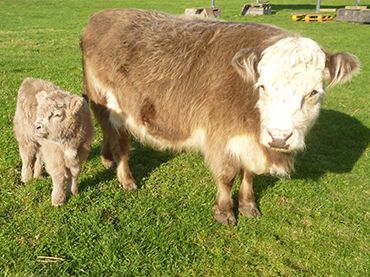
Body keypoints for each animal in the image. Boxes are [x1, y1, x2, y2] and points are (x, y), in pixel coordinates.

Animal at [13, 77, 93, 205]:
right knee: (27, 157)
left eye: (57, 115)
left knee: (39, 156)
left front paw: (73, 192)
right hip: (25, 136)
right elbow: (58, 175)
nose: (37, 126)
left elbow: (75, 172)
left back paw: (37, 175)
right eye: (40, 113)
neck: (68, 142)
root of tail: (29, 80)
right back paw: (26, 178)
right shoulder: (54, 154)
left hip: (41, 144)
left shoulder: (80, 151)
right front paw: (58, 200)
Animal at [80, 9, 358, 224]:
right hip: (107, 102)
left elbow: (249, 174)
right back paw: (126, 179)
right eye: (262, 86)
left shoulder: (250, 141)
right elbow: (227, 175)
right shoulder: (221, 136)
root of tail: (101, 15)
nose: (279, 137)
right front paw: (224, 211)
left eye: (314, 92)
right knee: (120, 142)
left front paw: (248, 206)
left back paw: (107, 159)